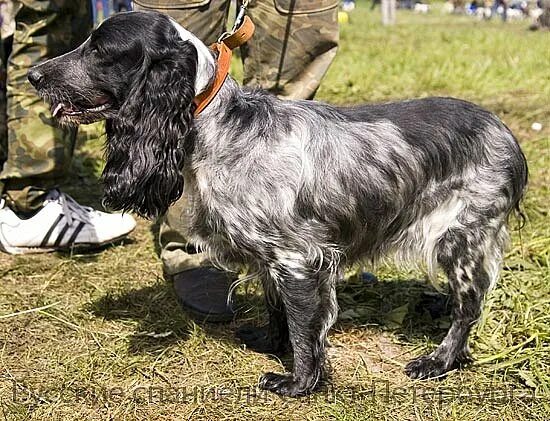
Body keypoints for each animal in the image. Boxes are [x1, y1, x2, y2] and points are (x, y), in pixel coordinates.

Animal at [28, 10, 528, 398]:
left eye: (99, 50)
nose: (33, 75)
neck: (222, 126)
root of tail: (507, 136)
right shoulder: (270, 257)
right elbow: (276, 308)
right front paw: (271, 343)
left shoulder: (298, 258)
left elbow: (305, 325)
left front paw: (298, 382)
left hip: (460, 240)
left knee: (469, 309)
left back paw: (439, 360)